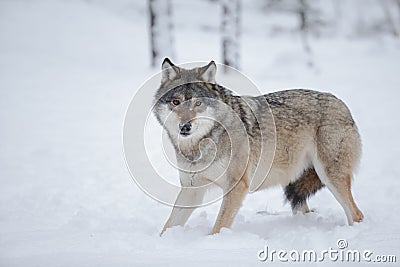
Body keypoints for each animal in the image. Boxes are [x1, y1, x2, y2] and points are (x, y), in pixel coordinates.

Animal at [152, 58, 362, 237]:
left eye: (198, 103)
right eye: (176, 102)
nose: (185, 126)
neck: (200, 144)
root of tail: (342, 103)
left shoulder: (237, 186)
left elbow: (219, 227)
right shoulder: (192, 189)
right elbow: (168, 226)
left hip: (330, 176)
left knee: (357, 214)